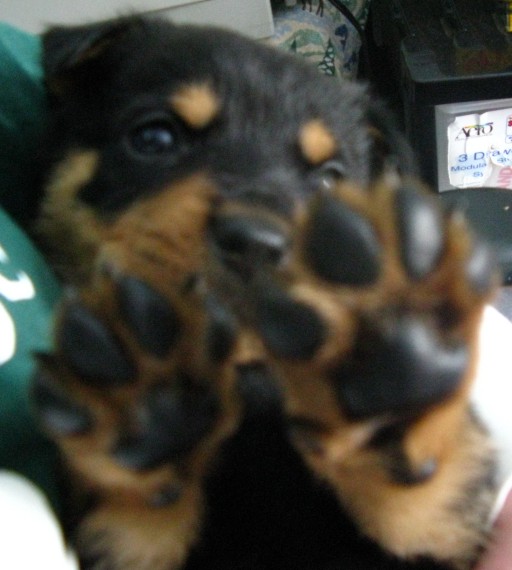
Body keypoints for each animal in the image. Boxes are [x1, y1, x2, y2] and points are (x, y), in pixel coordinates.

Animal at [31, 15, 498, 570]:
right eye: (155, 137)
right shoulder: (117, 548)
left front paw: (385, 342)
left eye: (329, 181)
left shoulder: (446, 541)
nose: (256, 243)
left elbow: (431, 499)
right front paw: (148, 399)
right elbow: (134, 519)